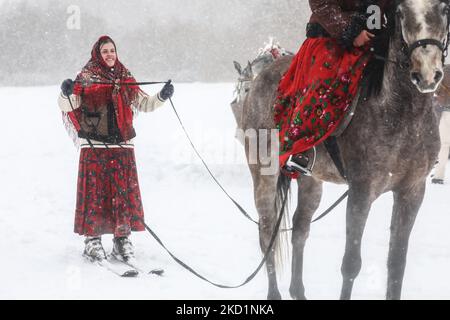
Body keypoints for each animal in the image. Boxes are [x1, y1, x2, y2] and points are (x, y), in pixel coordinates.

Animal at [234, 0, 448, 300]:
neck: (402, 112)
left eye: (443, 9)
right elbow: (351, 263)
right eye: (401, 11)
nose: (427, 73)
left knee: (300, 230)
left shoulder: (412, 191)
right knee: (267, 233)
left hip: (311, 182)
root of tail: (258, 80)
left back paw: (298, 291)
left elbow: (397, 264)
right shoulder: (361, 192)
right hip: (264, 176)